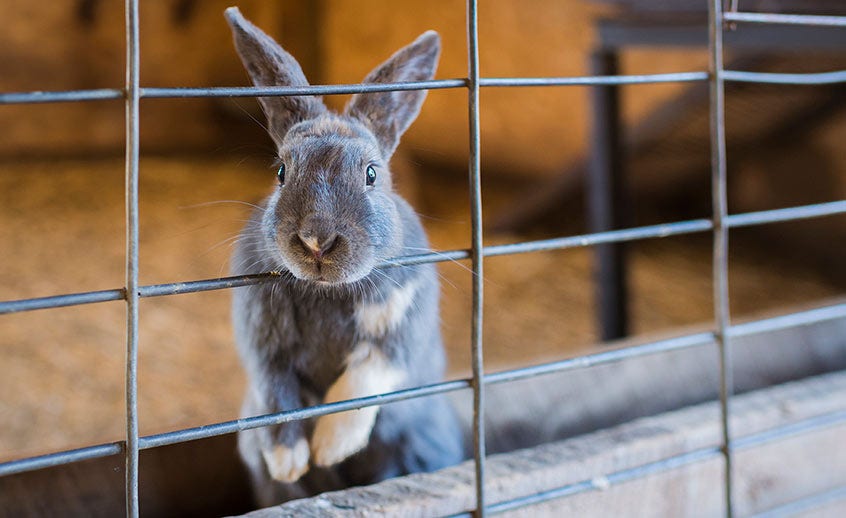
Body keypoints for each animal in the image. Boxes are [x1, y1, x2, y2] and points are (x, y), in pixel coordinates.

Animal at [224, 7, 465, 507]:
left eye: (372, 174)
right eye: (281, 171)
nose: (317, 239)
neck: (326, 290)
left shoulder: (400, 329)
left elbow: (364, 379)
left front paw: (330, 447)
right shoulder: (263, 347)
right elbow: (275, 394)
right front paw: (290, 459)